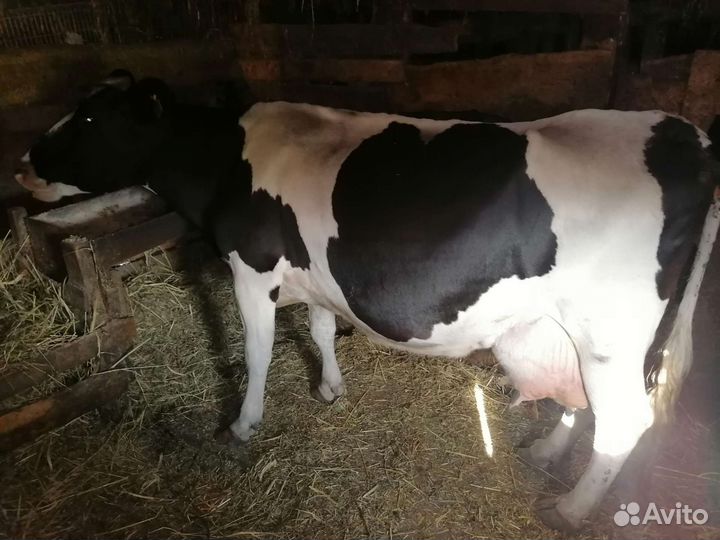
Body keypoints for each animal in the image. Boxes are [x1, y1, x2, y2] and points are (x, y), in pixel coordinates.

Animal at [14, 71, 720, 531]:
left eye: (89, 118)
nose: (21, 163)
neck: (223, 162)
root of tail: (684, 134)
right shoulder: (315, 276)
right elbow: (322, 330)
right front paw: (330, 388)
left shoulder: (251, 267)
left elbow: (259, 352)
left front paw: (241, 426)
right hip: (574, 332)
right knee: (583, 402)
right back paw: (547, 453)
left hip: (611, 334)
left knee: (623, 421)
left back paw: (569, 509)